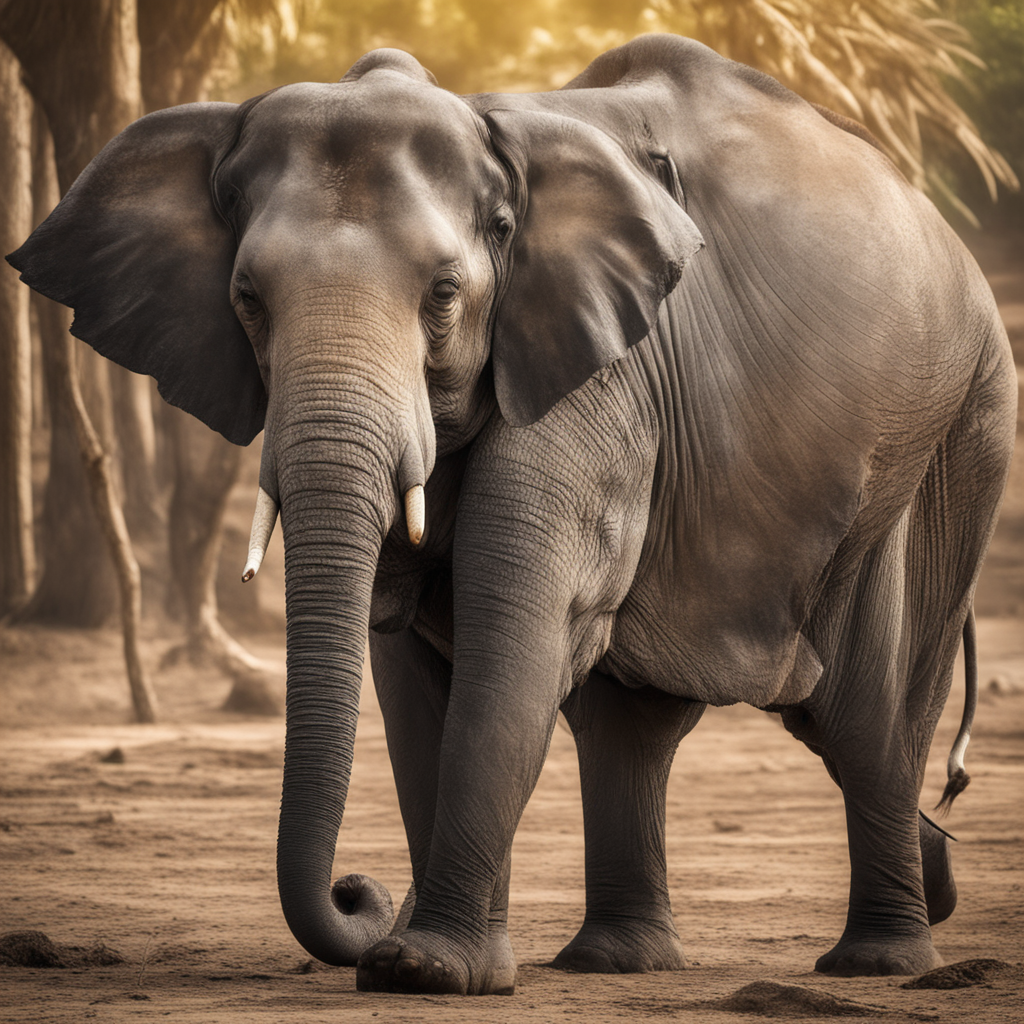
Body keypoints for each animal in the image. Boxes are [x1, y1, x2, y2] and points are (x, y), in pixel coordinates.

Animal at [8, 34, 1016, 995]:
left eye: (444, 296)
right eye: (248, 301)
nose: (356, 890)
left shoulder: (602, 375)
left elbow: (514, 634)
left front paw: (424, 970)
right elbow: (408, 664)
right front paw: (425, 964)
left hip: (952, 432)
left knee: (864, 714)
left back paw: (879, 960)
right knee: (632, 727)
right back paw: (620, 961)